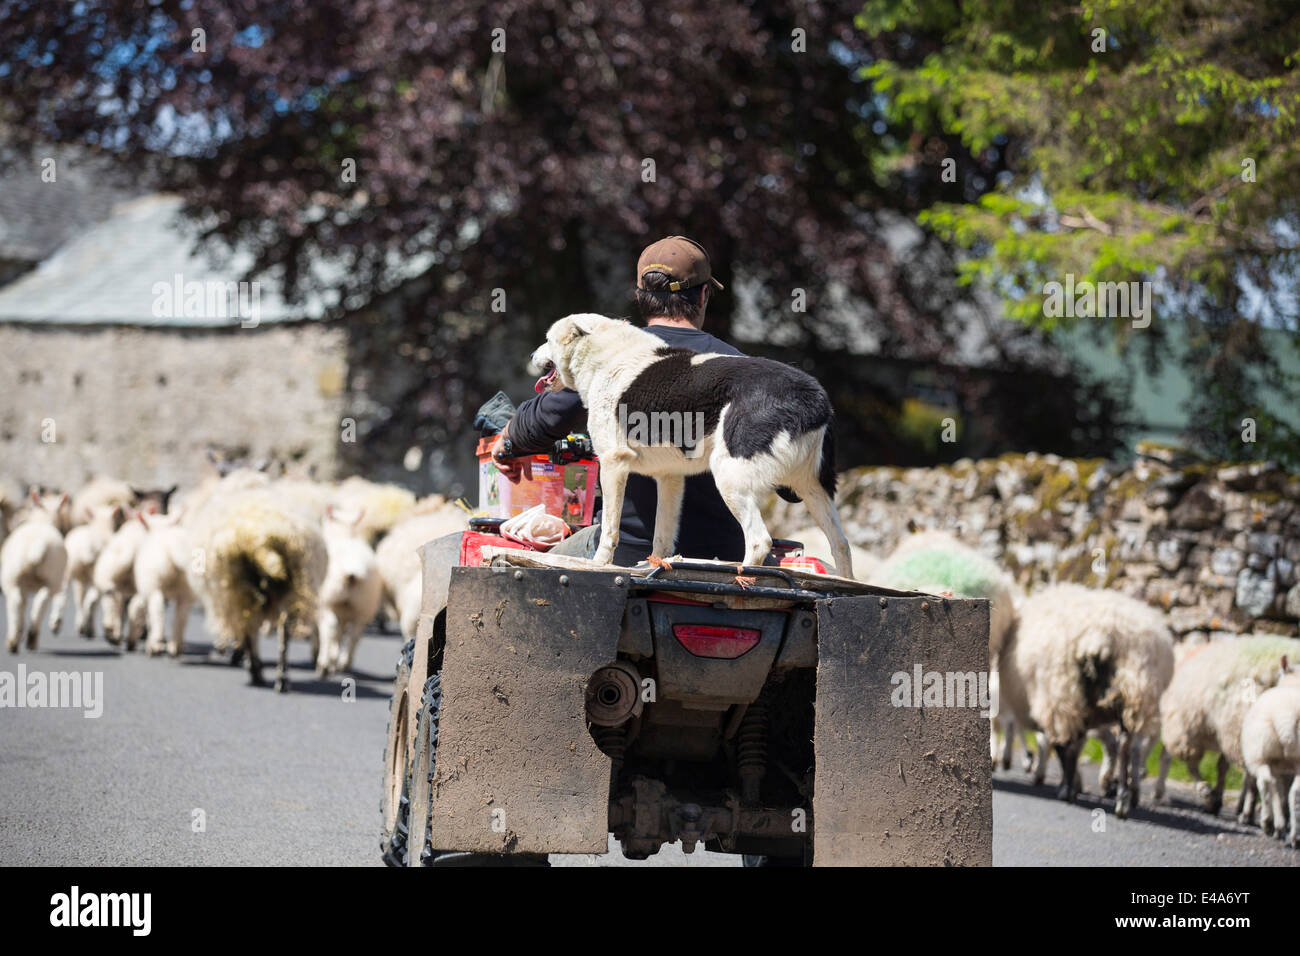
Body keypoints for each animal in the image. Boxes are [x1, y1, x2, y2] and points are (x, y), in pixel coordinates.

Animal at [1, 489, 68, 655]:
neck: (44, 520)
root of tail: (37, 546)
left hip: (14, 579)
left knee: (24, 603)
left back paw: (21, 641)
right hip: (42, 578)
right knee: (30, 602)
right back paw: (22, 640)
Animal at [317, 504, 382, 676]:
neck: (345, 534)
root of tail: (353, 570)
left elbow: (331, 633)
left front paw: (330, 659)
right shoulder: (345, 612)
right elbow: (341, 634)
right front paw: (335, 658)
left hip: (329, 601)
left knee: (330, 628)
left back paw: (324, 664)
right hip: (364, 607)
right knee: (355, 635)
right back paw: (344, 663)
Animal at [998, 582, 1175, 816]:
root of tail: (1103, 636)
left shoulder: (1057, 705)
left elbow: (1064, 748)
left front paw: (1069, 785)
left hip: (1064, 693)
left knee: (1071, 746)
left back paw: (1071, 791)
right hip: (1134, 693)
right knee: (1126, 745)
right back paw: (1124, 798)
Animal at [1237, 658, 1300, 842]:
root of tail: (1289, 715)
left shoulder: (1273, 763)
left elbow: (1276, 792)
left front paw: (1277, 824)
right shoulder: (1283, 768)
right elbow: (1281, 794)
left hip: (1259, 754)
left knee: (1265, 782)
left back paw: (1269, 823)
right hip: (1297, 760)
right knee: (1295, 793)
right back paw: (1294, 837)